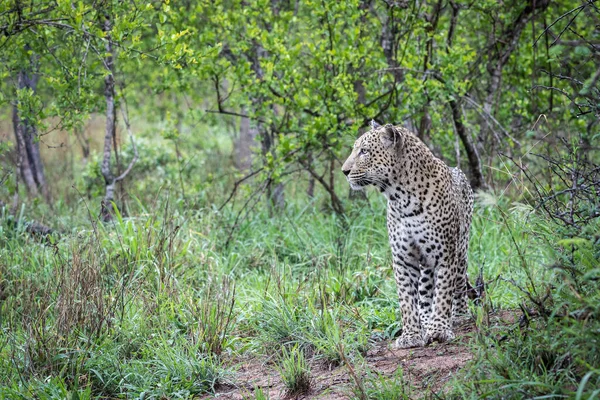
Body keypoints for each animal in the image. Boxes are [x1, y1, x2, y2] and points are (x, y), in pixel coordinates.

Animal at [342, 121, 474, 346]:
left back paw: (459, 315)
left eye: (364, 151)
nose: (344, 171)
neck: (402, 198)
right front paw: (411, 335)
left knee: (458, 282)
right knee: (425, 291)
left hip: (461, 248)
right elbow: (407, 300)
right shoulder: (403, 258)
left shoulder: (445, 253)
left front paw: (439, 330)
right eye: (355, 149)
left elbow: (443, 293)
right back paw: (425, 321)